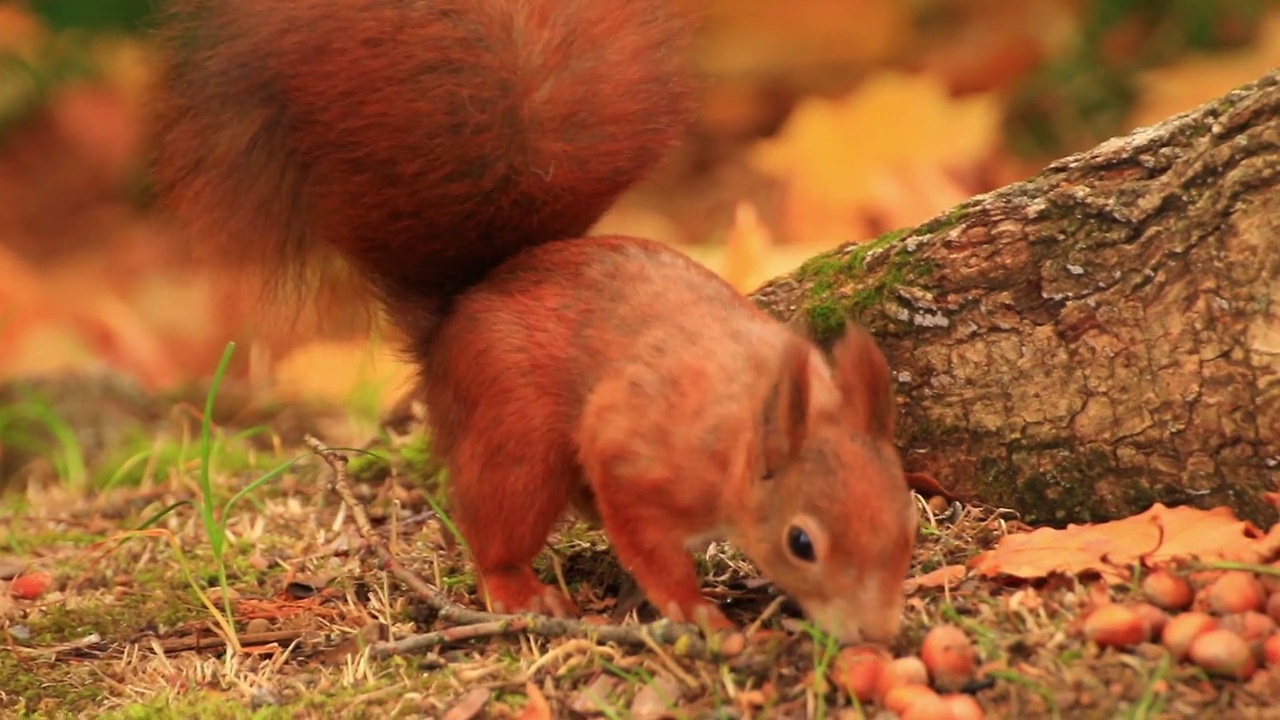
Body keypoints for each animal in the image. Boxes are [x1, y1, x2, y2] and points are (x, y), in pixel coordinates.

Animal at [152, 0, 921, 638]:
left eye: (906, 519)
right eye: (802, 542)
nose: (879, 634)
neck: (738, 428)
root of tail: (464, 303)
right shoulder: (634, 448)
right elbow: (645, 535)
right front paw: (692, 608)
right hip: (516, 432)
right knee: (498, 517)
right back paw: (518, 589)